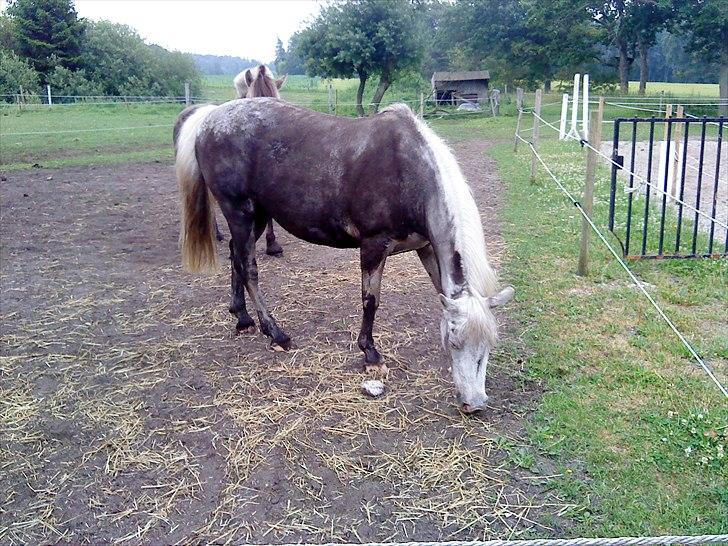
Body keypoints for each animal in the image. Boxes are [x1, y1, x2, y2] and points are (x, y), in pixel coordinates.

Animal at [174, 71, 514, 413]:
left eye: (488, 346)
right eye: (454, 342)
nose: (475, 404)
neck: (409, 171)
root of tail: (209, 119)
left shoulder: (426, 246)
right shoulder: (374, 246)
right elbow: (370, 300)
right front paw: (370, 354)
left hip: (256, 217)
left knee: (236, 255)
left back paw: (242, 318)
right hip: (239, 212)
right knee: (248, 267)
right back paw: (276, 333)